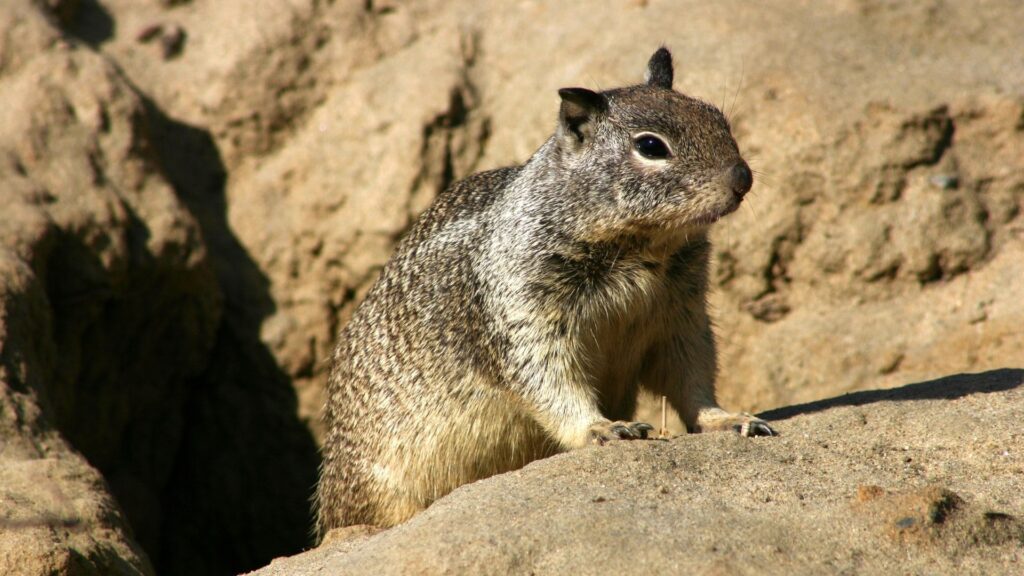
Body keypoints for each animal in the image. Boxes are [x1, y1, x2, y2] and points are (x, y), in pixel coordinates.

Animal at [315, 47, 775, 537]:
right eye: (651, 147)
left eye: (718, 118)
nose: (742, 179)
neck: (643, 249)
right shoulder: (525, 310)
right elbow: (550, 379)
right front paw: (604, 429)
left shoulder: (682, 317)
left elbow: (692, 378)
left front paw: (727, 418)